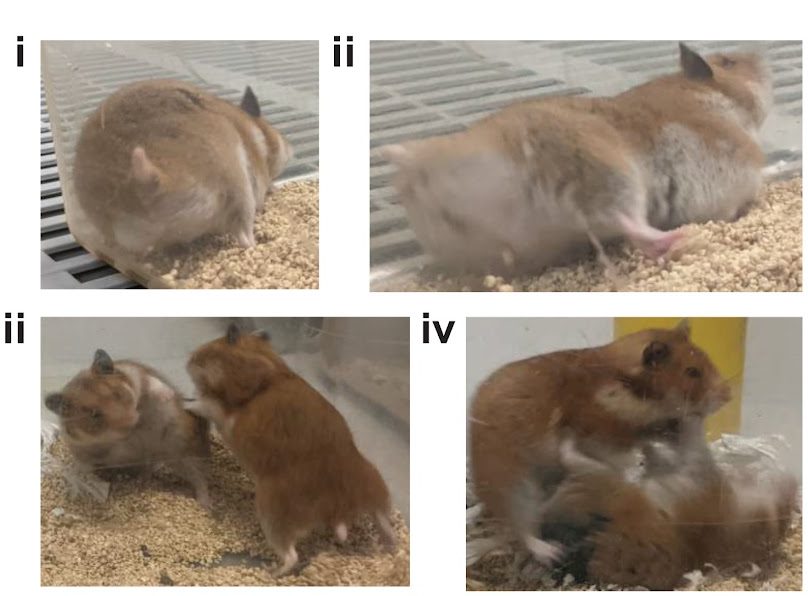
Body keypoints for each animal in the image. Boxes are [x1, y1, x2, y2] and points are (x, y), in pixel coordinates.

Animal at [44, 349, 211, 507]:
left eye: (117, 394)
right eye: (94, 414)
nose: (131, 422)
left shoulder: (138, 373)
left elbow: (154, 383)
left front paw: (169, 396)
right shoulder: (84, 452)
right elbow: (84, 467)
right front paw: (86, 485)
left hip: (181, 450)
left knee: (199, 478)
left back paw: (206, 505)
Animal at [72, 79, 293, 257]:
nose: (289, 149)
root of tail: (157, 183)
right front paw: (275, 187)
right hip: (240, 188)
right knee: (244, 235)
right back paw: (257, 244)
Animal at [185, 325, 396, 575]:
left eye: (215, 346)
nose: (188, 362)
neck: (270, 371)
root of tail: (339, 510)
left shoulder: (220, 410)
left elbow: (202, 403)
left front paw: (186, 399)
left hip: (272, 513)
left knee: (291, 556)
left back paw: (271, 573)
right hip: (372, 483)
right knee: (384, 520)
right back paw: (390, 547)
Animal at [469, 320, 729, 565]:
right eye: (692, 372)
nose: (728, 396)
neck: (628, 387)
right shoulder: (599, 434)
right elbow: (618, 456)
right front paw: (636, 469)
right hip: (517, 486)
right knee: (522, 529)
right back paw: (552, 552)